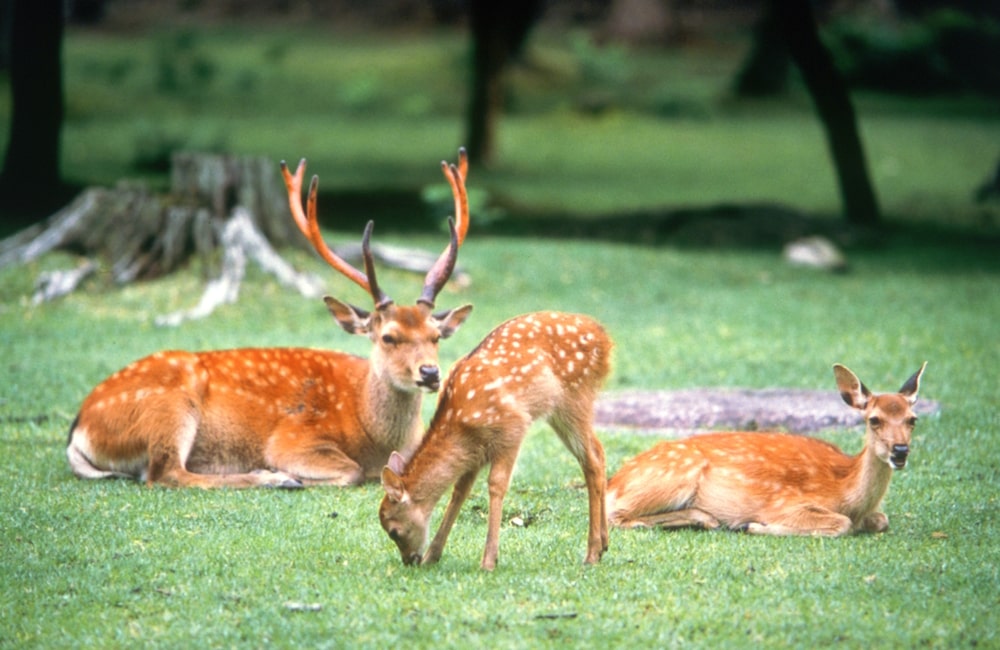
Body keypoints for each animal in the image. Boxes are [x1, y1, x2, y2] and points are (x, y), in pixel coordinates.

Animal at [66, 151, 472, 486]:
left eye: (436, 336)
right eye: (388, 336)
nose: (430, 373)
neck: (373, 433)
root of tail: (79, 428)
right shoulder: (293, 437)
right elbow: (352, 471)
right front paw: (290, 473)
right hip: (168, 407)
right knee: (165, 473)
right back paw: (272, 478)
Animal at [378, 310, 612, 568]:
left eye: (394, 531)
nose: (410, 560)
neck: (459, 421)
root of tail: (605, 339)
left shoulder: (512, 428)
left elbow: (496, 485)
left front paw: (489, 560)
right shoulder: (475, 451)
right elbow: (460, 491)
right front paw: (433, 555)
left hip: (574, 397)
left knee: (592, 460)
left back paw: (591, 553)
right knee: (599, 452)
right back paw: (604, 545)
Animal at [608, 362, 928, 536]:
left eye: (912, 419)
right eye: (874, 419)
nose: (900, 451)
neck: (847, 491)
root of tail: (614, 481)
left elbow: (882, 520)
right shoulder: (785, 504)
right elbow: (841, 523)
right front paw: (751, 526)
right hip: (672, 477)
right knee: (614, 515)